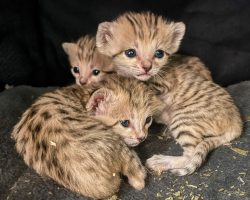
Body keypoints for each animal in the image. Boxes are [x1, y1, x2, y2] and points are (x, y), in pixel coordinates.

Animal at [11, 76, 164, 199]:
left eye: (148, 120)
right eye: (125, 123)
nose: (142, 137)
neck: (81, 94)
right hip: (118, 144)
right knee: (138, 177)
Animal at [95, 11, 242, 176]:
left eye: (159, 53)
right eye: (130, 52)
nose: (147, 67)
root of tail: (237, 122)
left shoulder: (159, 87)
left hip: (183, 118)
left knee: (190, 154)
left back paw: (162, 161)